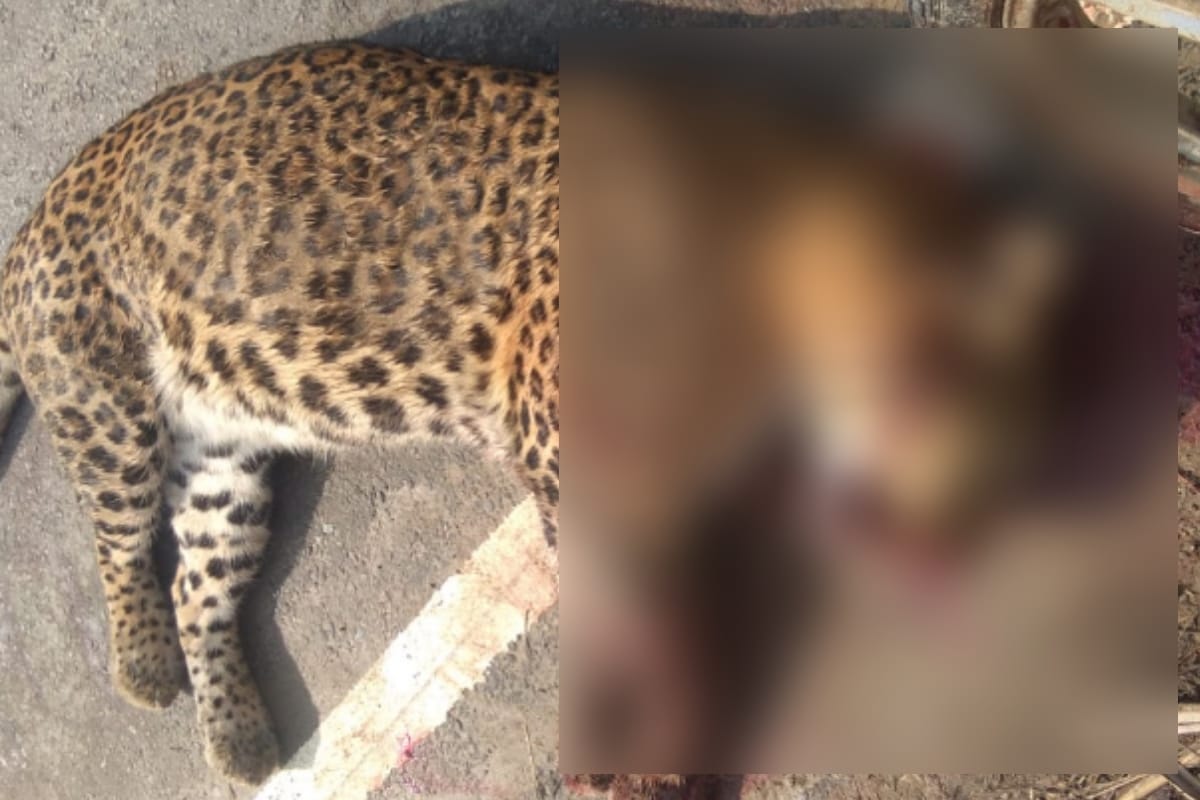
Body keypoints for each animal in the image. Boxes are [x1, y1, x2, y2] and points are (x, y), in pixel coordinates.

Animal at [0, 42, 559, 785]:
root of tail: (33, 223)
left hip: (220, 469)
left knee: (194, 590)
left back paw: (239, 738)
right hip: (105, 407)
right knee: (117, 541)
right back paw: (144, 666)